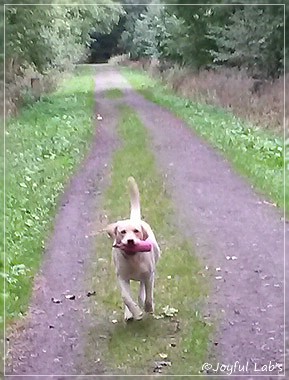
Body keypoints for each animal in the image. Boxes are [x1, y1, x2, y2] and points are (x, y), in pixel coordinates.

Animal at [106, 177, 161, 320]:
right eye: (122, 232)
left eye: (136, 231)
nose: (130, 241)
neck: (133, 258)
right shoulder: (122, 277)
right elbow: (126, 297)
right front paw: (135, 312)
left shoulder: (149, 275)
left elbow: (149, 294)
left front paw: (148, 307)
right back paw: (129, 313)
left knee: (143, 287)